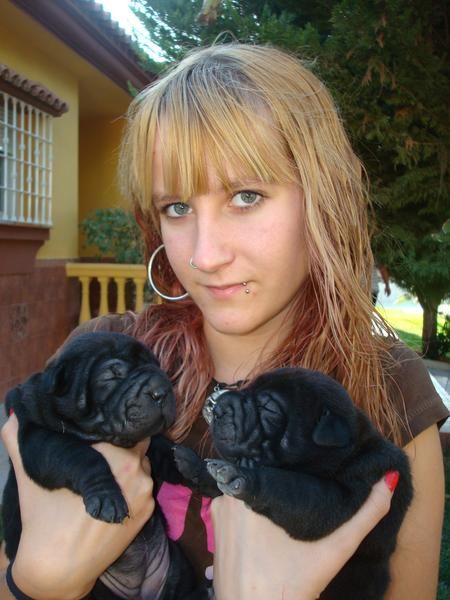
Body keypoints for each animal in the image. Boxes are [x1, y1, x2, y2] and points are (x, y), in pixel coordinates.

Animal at [1, 332, 199, 600]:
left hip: (177, 567)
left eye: (157, 367)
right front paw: (108, 498)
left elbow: (163, 448)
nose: (162, 389)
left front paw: (196, 468)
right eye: (112, 376)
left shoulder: (148, 442)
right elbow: (83, 456)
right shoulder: (40, 439)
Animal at [174, 366, 414, 600]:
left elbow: (285, 485)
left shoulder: (347, 488)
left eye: (267, 409)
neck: (348, 448)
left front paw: (243, 477)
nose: (219, 406)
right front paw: (197, 467)